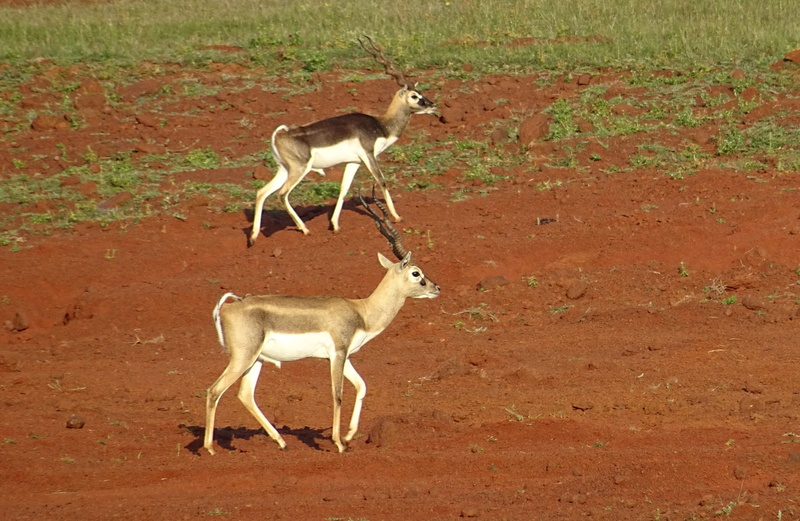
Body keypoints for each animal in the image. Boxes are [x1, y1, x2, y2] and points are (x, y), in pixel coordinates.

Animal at [204, 194, 440, 453]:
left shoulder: (343, 355)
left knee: (245, 395)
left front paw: (348, 436)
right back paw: (210, 448)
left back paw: (282, 442)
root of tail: (230, 305)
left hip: (257, 359)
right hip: (243, 358)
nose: (436, 288)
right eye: (416, 273)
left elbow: (362, 386)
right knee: (214, 390)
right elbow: (338, 394)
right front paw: (338, 443)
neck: (361, 311)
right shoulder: (337, 354)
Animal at [248, 36, 436, 246]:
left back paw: (253, 237)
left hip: (284, 169)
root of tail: (281, 134)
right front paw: (397, 217)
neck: (380, 125)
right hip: (299, 169)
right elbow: (382, 181)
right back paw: (305, 229)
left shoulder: (354, 162)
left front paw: (335, 225)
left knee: (261, 192)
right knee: (282, 194)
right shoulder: (368, 155)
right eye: (415, 96)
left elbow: (343, 189)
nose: (432, 105)